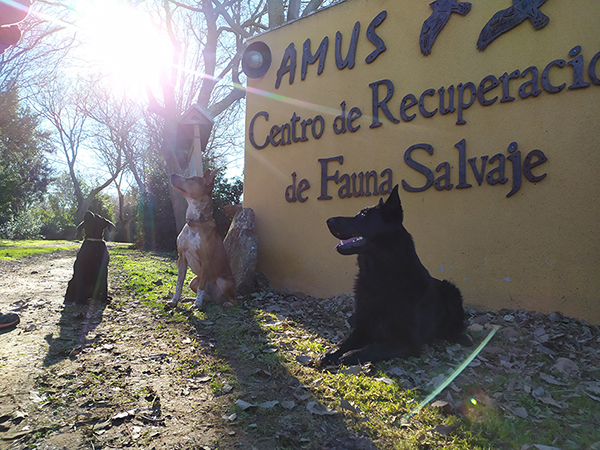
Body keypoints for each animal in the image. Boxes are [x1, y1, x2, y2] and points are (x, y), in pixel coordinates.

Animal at [168, 170, 238, 310]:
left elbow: (201, 288)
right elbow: (179, 284)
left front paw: (197, 304)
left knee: (236, 301)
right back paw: (189, 298)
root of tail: (217, 299)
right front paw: (174, 301)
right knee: (208, 297)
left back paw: (226, 303)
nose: (172, 174)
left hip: (222, 281)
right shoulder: (181, 258)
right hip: (193, 281)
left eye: (193, 179)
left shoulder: (206, 260)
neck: (195, 223)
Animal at [318, 185, 468, 366]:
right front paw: (331, 353)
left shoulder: (408, 342)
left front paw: (349, 356)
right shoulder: (363, 329)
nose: (328, 220)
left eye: (363, 215)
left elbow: (372, 348)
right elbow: (345, 342)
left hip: (451, 290)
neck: (379, 275)